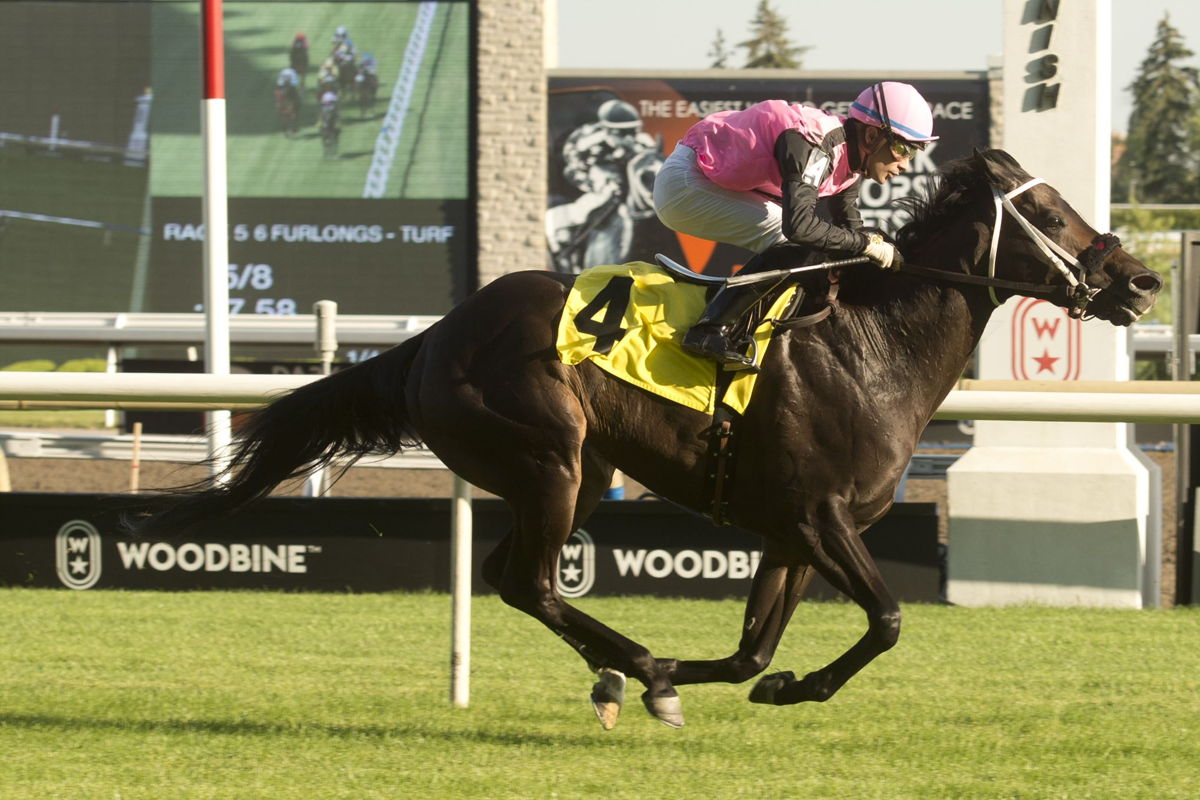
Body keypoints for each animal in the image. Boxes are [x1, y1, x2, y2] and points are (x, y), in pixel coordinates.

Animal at [138, 146, 1161, 729]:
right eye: (1052, 215)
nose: (1145, 280)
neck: (871, 345)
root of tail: (433, 337)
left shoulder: (792, 533)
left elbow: (754, 653)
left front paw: (769, 685)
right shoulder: (822, 518)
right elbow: (890, 619)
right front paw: (702, 679)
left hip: (579, 472)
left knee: (520, 578)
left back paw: (623, 672)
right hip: (549, 456)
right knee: (529, 580)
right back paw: (637, 668)